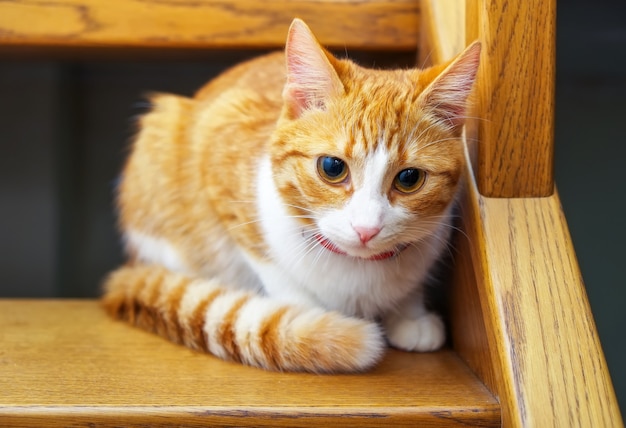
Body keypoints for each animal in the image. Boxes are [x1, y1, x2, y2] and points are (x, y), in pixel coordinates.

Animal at [101, 19, 478, 374]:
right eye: (332, 167)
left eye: (410, 178)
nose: (366, 229)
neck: (356, 269)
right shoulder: (223, 156)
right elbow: (277, 273)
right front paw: (308, 326)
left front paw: (410, 315)